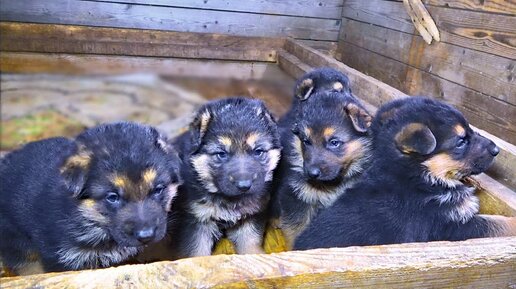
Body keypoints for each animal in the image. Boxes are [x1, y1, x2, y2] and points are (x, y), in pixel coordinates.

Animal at [168, 96, 282, 256]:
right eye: (221, 154)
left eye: (258, 151)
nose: (244, 186)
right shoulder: (196, 221)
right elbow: (196, 253)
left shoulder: (251, 216)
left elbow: (250, 245)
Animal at [276, 88, 372, 248]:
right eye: (306, 141)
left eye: (334, 142)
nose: (311, 173)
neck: (331, 184)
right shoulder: (298, 197)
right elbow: (296, 230)